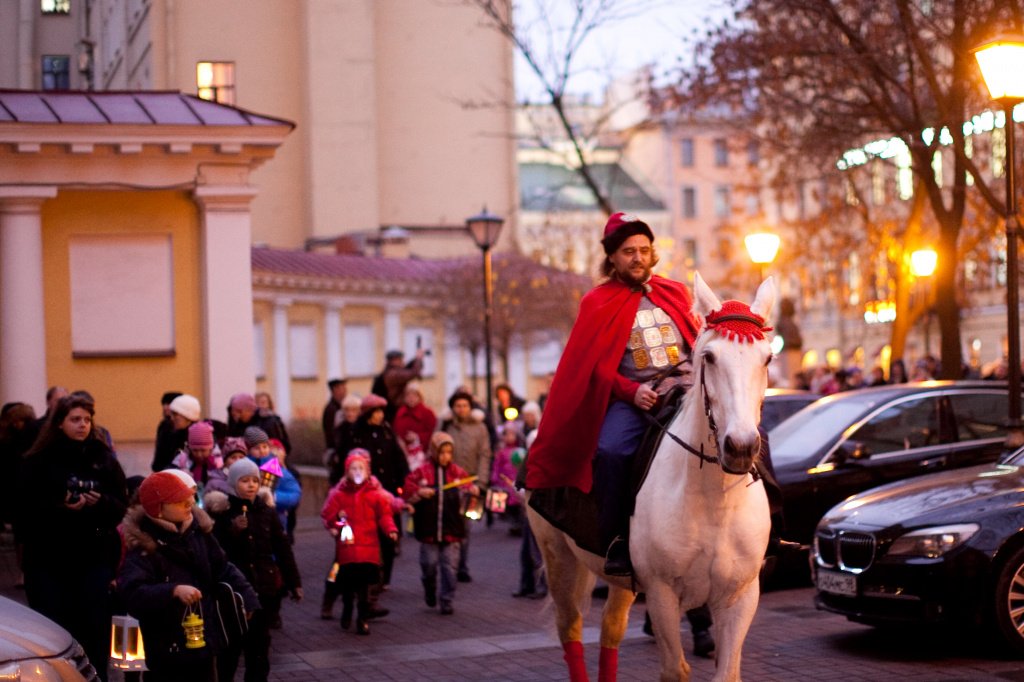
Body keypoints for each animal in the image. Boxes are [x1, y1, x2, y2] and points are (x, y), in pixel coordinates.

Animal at [532, 272, 770, 679]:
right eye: (709, 357)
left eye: (767, 358)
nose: (740, 448)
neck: (714, 501)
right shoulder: (662, 595)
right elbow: (674, 670)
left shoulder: (740, 596)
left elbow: (727, 672)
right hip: (559, 558)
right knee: (571, 628)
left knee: (611, 629)